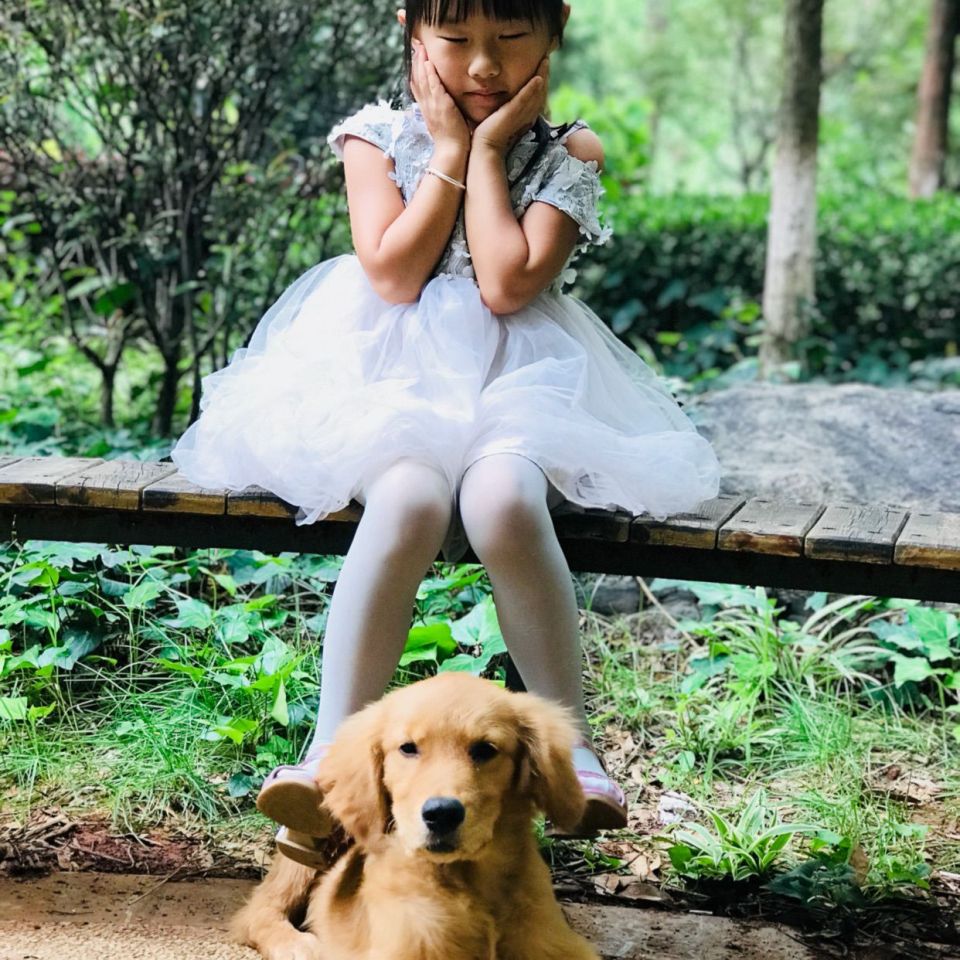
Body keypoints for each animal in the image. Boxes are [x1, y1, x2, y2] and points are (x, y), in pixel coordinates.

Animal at [232, 671, 601, 960]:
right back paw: (296, 945)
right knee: (258, 910)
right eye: (408, 748)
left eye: (485, 750)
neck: (467, 881)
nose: (442, 814)